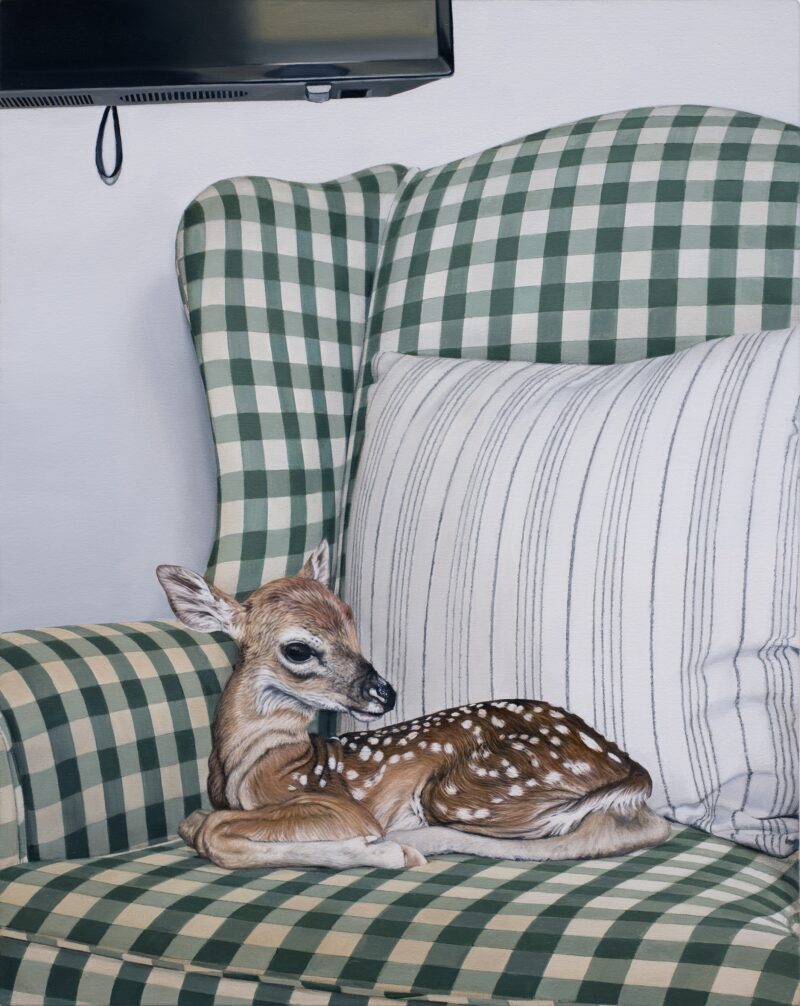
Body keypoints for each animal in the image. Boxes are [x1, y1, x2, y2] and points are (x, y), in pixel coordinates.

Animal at [157, 542, 671, 871]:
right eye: (298, 649)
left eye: (354, 626)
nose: (385, 692)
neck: (256, 767)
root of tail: (623, 760)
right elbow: (194, 823)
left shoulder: (337, 804)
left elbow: (213, 831)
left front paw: (374, 849)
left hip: (469, 788)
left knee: (611, 830)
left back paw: (404, 843)